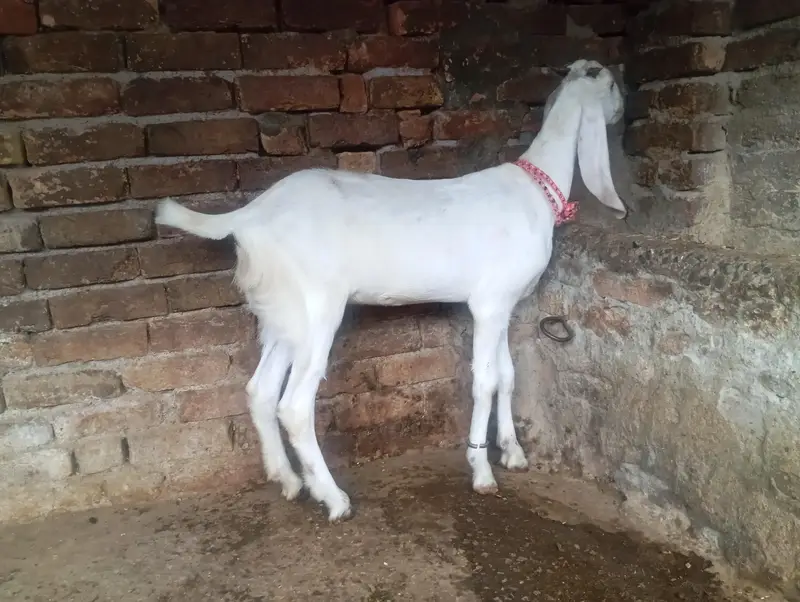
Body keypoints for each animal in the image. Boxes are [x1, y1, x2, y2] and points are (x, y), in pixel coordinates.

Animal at [155, 59, 628, 523]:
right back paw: (333, 499)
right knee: (293, 406)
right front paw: (481, 470)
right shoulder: (489, 304)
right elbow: (485, 382)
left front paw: (513, 453)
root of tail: (249, 216)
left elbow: (508, 377)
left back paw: (288, 481)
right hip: (316, 307)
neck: (534, 191)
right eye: (611, 84)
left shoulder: (504, 304)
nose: (622, 111)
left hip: (282, 312)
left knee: (261, 390)